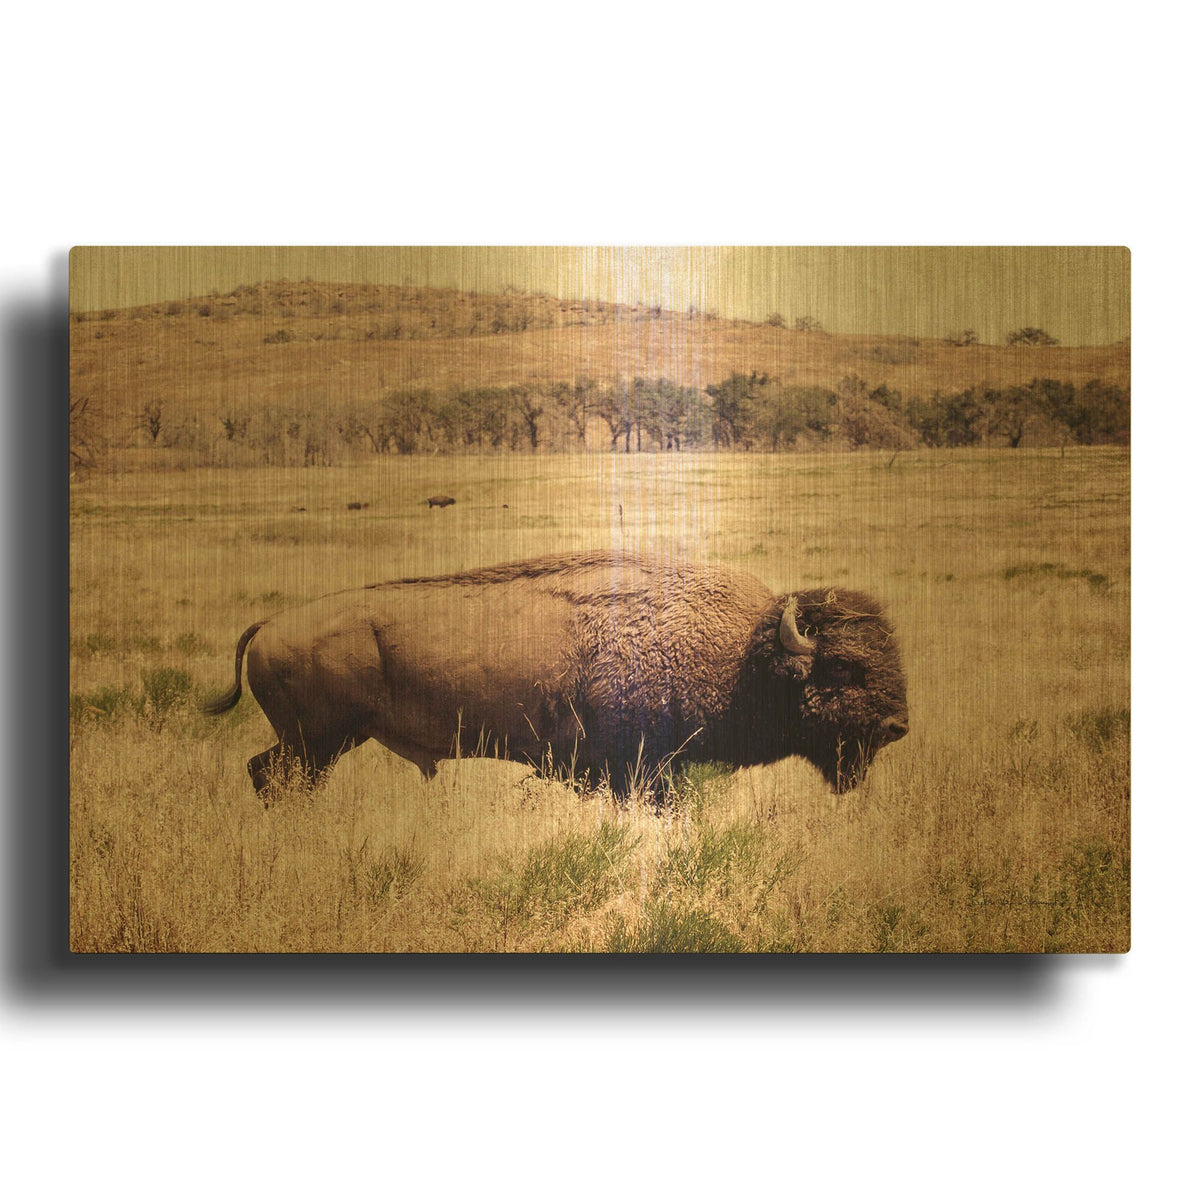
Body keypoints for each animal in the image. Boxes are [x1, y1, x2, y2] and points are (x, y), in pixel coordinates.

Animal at [203, 552, 908, 797]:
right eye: (843, 668)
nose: (899, 725)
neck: (743, 656)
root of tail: (270, 625)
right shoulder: (636, 770)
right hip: (317, 743)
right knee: (275, 777)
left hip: (315, 743)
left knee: (264, 773)